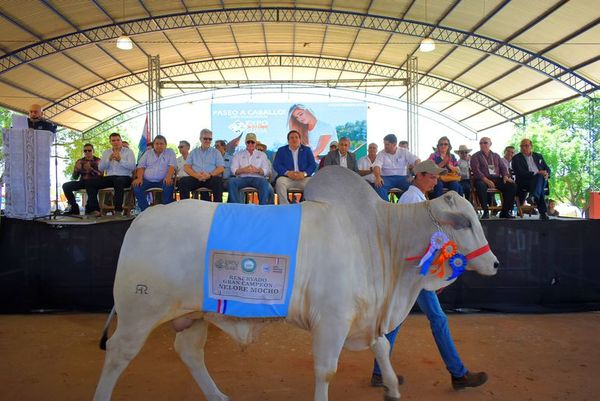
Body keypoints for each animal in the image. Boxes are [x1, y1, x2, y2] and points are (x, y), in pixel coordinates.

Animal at [92, 165, 496, 400]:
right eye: (464, 222)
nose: (494, 263)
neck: (377, 235)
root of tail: (145, 217)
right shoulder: (332, 321)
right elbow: (326, 370)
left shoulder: (366, 318)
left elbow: (382, 346)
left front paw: (393, 388)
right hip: (139, 313)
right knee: (118, 354)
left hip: (194, 314)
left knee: (189, 353)